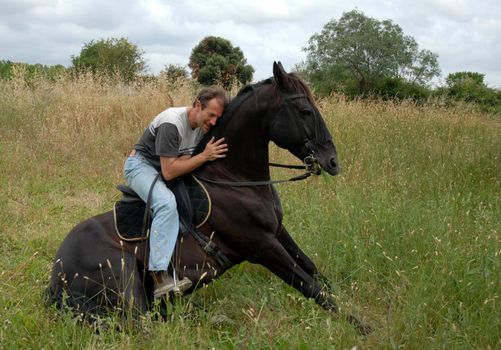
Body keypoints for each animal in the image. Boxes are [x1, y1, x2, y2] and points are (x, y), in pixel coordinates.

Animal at [48, 61, 372, 334]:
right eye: (305, 111)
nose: (332, 161)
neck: (234, 179)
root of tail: (55, 277)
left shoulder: (278, 231)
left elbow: (313, 269)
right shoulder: (262, 246)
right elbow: (311, 287)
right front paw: (362, 326)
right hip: (123, 272)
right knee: (142, 325)